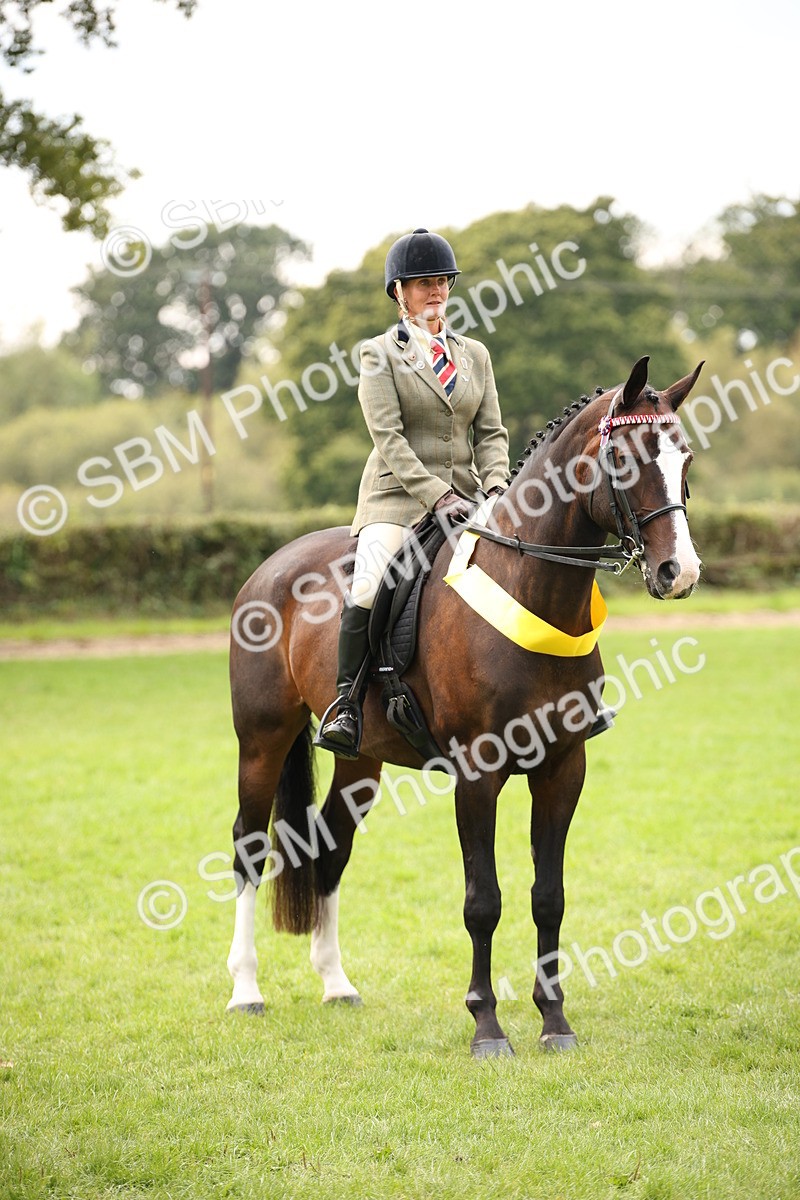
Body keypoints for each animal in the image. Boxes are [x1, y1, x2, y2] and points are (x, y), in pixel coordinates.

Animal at [224, 354, 704, 1056]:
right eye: (622, 456)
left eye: (684, 457)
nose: (679, 572)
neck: (532, 587)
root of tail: (272, 564)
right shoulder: (477, 774)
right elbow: (484, 901)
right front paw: (487, 1027)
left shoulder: (563, 768)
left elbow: (548, 896)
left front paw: (555, 1022)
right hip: (262, 739)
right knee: (250, 848)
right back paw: (246, 990)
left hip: (360, 762)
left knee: (332, 847)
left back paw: (336, 984)